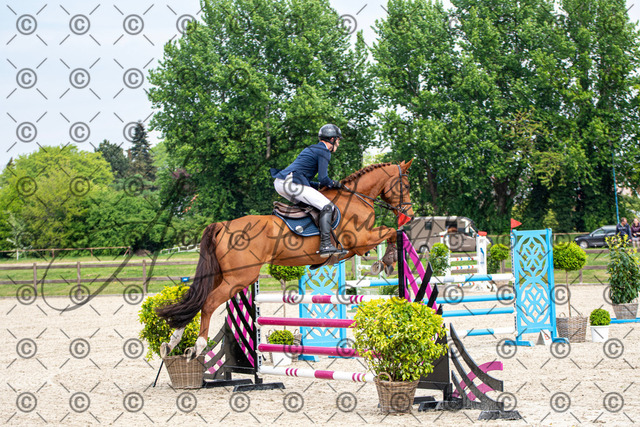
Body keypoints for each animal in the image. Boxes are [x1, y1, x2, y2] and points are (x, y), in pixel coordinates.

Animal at [157, 160, 415, 359]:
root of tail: (223, 225)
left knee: (196, 300)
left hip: (222, 276)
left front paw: (383, 262)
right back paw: (198, 346)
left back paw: (172, 342)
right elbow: (389, 231)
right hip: (240, 277)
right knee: (208, 303)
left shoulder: (358, 246)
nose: (410, 215)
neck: (356, 199)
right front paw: (387, 261)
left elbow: (386, 233)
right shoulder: (361, 239)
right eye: (406, 184)